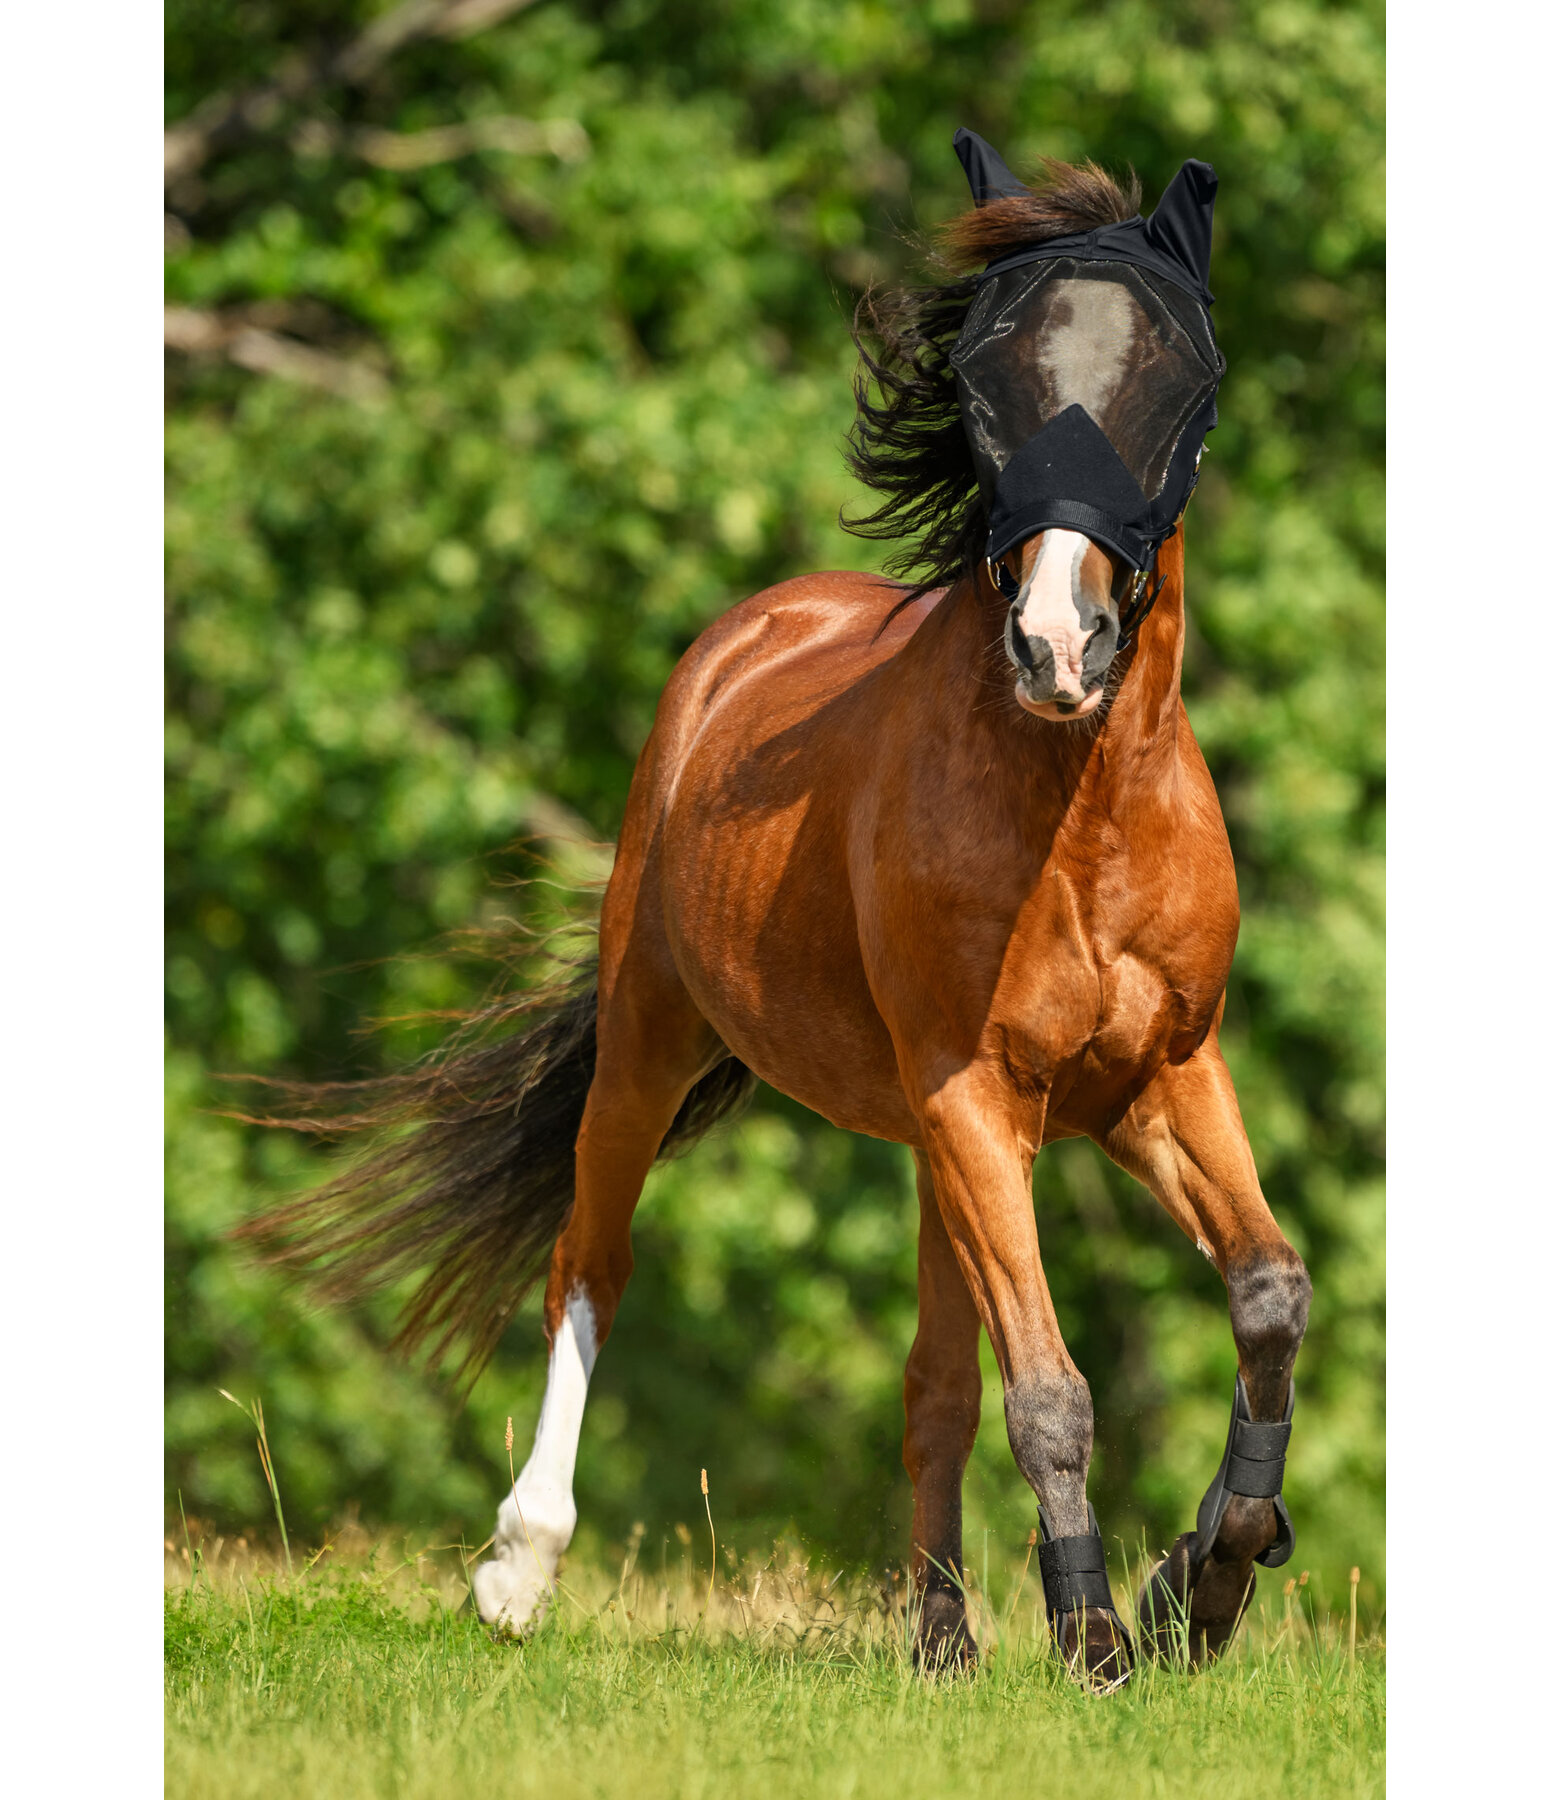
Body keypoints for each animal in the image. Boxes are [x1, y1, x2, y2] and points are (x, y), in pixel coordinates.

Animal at [241, 151, 1303, 1684]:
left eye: (1176, 373)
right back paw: (516, 1572)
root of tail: (741, 637)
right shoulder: (977, 1091)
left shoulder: (1152, 1079)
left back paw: (942, 1638)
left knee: (933, 1381)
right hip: (656, 1045)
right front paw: (1102, 1635)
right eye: (984, 372)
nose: (1055, 645)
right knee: (590, 1265)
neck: (1080, 807)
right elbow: (1050, 1391)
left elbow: (1265, 1294)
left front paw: (1202, 1581)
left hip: (947, 1145)